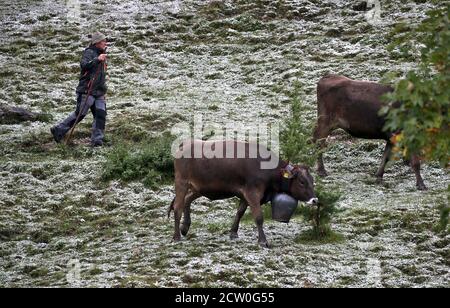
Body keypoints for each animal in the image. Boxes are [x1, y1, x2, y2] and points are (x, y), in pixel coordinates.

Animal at [167, 140, 318, 248]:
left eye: (312, 180)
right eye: (302, 182)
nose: (315, 200)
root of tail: (186, 142)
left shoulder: (245, 194)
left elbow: (240, 212)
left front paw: (233, 232)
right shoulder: (253, 193)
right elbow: (258, 217)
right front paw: (263, 241)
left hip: (199, 187)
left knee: (187, 200)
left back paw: (185, 227)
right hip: (181, 182)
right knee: (178, 206)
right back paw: (176, 237)